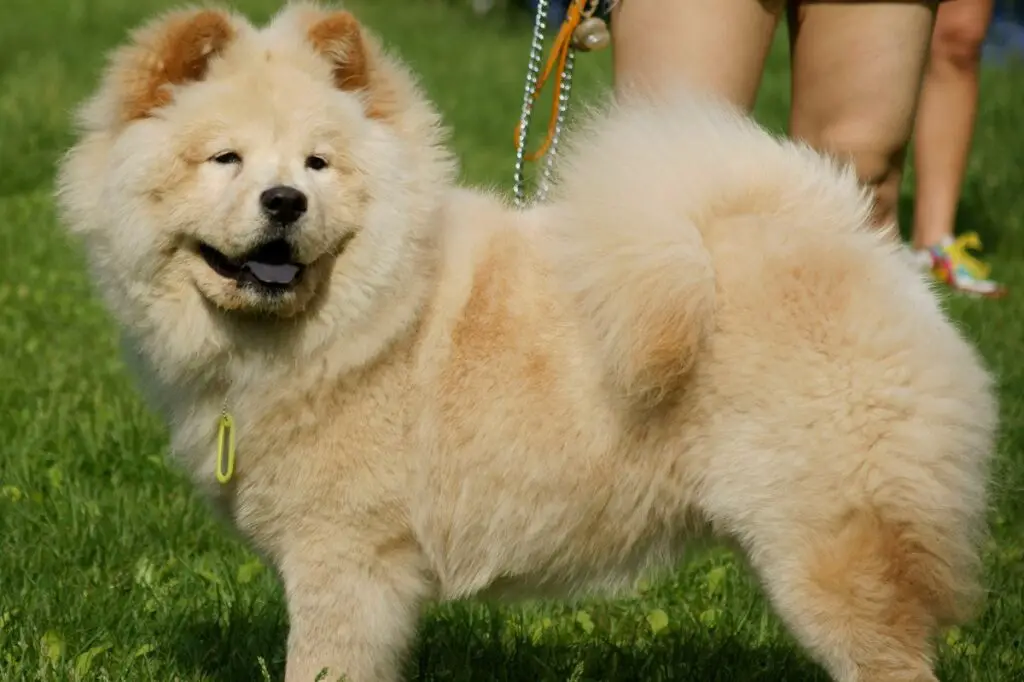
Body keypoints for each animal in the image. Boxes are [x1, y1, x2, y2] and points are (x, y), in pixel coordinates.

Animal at [54, 2, 991, 675]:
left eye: (318, 165)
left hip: (828, 547)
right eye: (227, 160)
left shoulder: (343, 558)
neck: (369, 314)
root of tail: (860, 248)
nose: (285, 202)